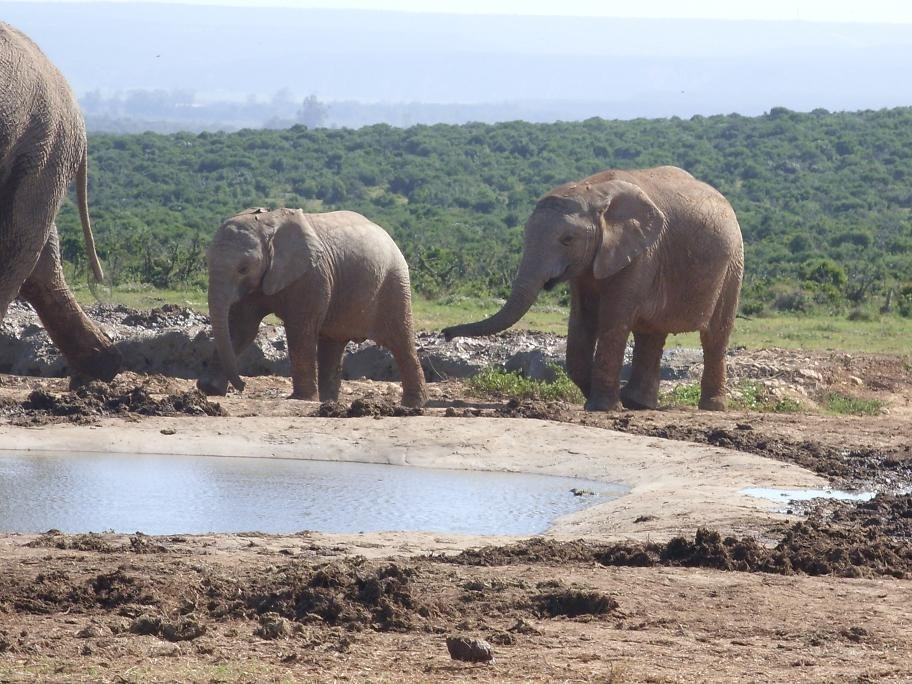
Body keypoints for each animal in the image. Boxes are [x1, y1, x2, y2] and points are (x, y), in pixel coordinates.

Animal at [197, 207, 428, 408]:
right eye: (207, 261)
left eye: (243, 269)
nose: (242, 386)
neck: (268, 222)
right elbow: (240, 329)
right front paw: (209, 389)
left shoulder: (311, 275)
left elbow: (299, 330)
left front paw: (301, 399)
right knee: (332, 343)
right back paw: (327, 402)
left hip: (394, 282)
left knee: (400, 341)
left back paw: (412, 405)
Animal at [444, 166, 743, 412]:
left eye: (567, 239)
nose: (445, 334)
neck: (593, 192)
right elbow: (582, 320)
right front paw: (604, 401)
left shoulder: (642, 254)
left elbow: (613, 318)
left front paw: (602, 408)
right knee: (651, 334)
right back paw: (637, 403)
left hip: (734, 264)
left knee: (714, 336)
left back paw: (711, 407)